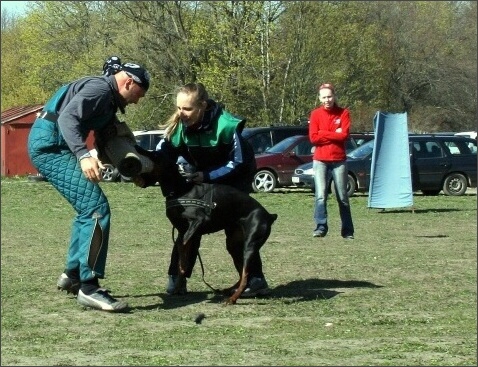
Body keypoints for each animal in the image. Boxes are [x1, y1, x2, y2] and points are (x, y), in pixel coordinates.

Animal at [133, 147, 278, 304]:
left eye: (154, 154)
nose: (137, 148)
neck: (180, 190)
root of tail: (269, 215)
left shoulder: (198, 222)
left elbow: (184, 249)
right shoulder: (181, 231)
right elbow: (181, 262)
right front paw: (178, 288)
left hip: (250, 244)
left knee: (245, 275)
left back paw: (232, 298)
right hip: (234, 245)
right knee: (241, 273)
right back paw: (229, 291)